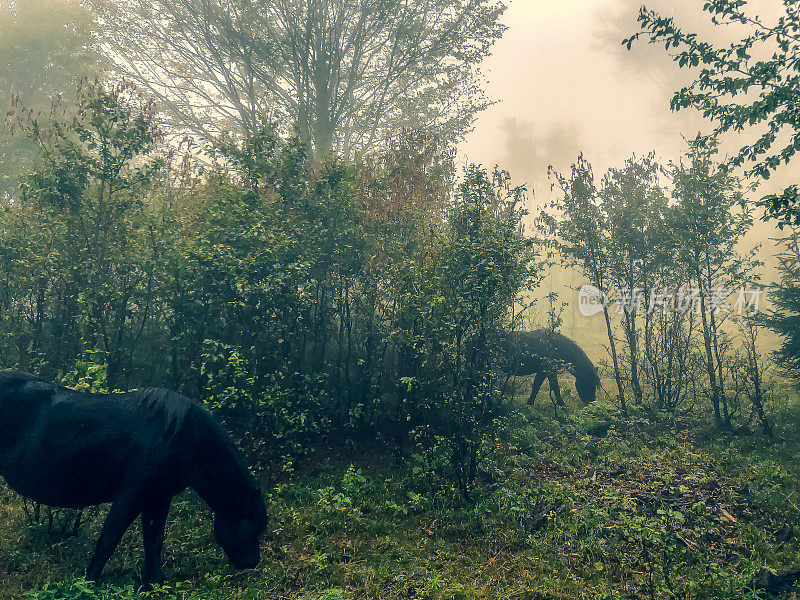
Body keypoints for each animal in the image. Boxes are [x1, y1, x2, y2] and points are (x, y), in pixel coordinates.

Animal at [0, 370, 268, 584]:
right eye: (255, 527)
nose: (253, 563)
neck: (182, 437)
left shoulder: (159, 497)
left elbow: (154, 541)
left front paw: (155, 584)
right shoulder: (131, 494)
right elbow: (109, 538)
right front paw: (89, 582)